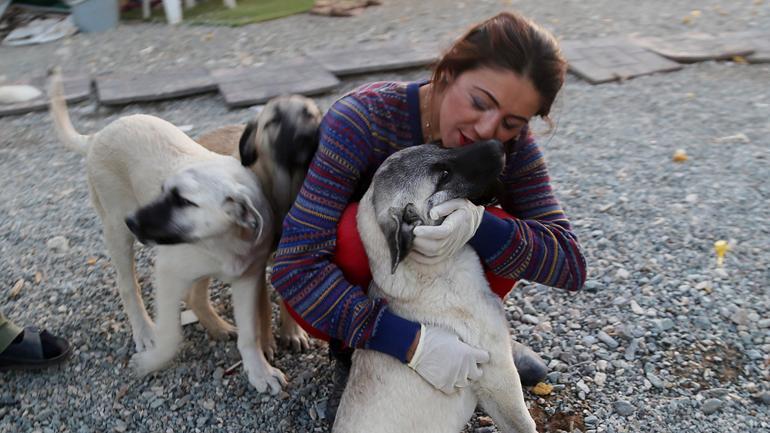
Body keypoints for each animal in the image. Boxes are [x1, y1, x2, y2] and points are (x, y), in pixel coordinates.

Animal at [47, 68, 284, 394]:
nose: (132, 221)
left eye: (184, 201)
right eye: (163, 191)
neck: (221, 243)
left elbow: (250, 333)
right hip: (115, 230)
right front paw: (151, 361)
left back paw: (218, 326)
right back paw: (146, 331)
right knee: (128, 286)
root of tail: (101, 133)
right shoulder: (168, 273)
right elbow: (171, 335)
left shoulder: (247, 279)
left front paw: (259, 372)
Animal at [332, 140, 536, 430]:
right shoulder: (499, 374)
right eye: (444, 176)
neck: (428, 272)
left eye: (438, 146)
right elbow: (523, 423)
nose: (497, 144)